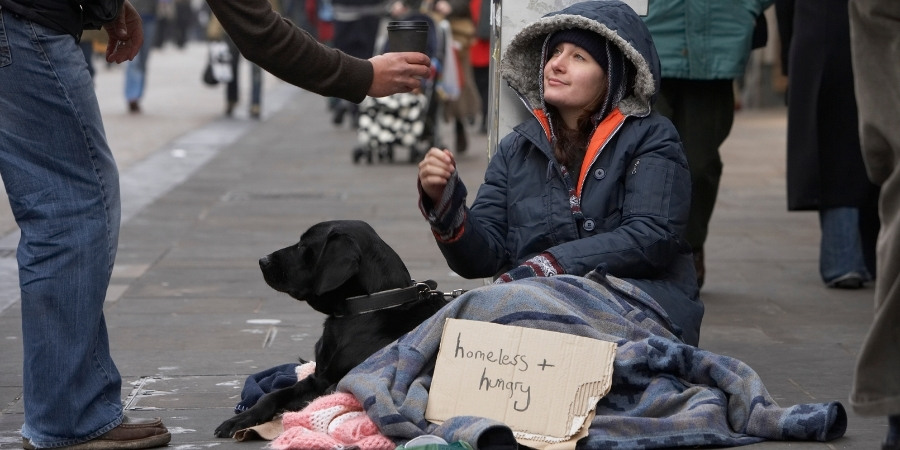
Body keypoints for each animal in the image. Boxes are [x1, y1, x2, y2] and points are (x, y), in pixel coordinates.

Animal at [212, 220, 450, 438]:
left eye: (303, 245)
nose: (263, 260)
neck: (364, 308)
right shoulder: (318, 378)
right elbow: (272, 395)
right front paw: (240, 420)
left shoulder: (342, 380)